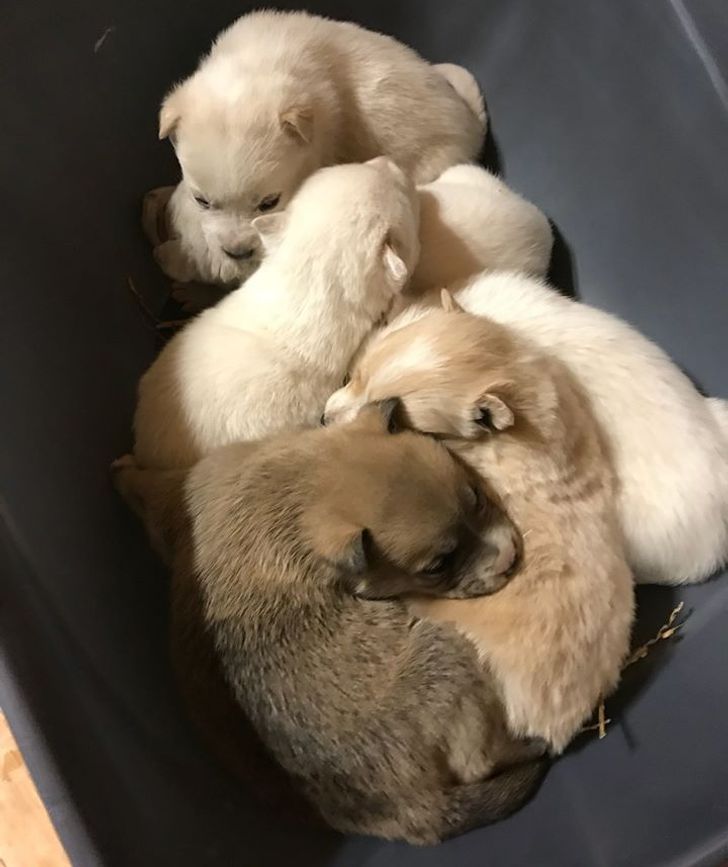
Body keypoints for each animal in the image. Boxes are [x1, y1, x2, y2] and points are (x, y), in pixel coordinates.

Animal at [112, 406, 544, 848]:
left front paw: (123, 472)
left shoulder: (187, 490)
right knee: (478, 761)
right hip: (446, 651)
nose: (511, 558)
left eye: (476, 496)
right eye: (437, 566)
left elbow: (148, 493)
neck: (300, 487)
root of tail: (408, 814)